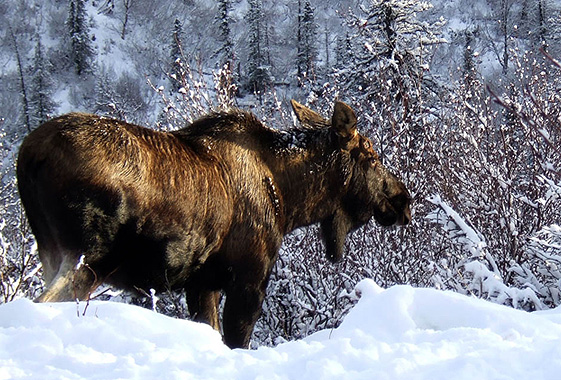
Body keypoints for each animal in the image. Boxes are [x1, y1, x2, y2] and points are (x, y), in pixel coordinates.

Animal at [17, 99, 410, 348]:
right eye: (372, 156)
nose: (403, 199)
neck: (290, 199)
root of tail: (29, 155)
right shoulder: (249, 276)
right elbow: (236, 340)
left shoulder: (202, 283)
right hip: (86, 257)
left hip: (50, 251)